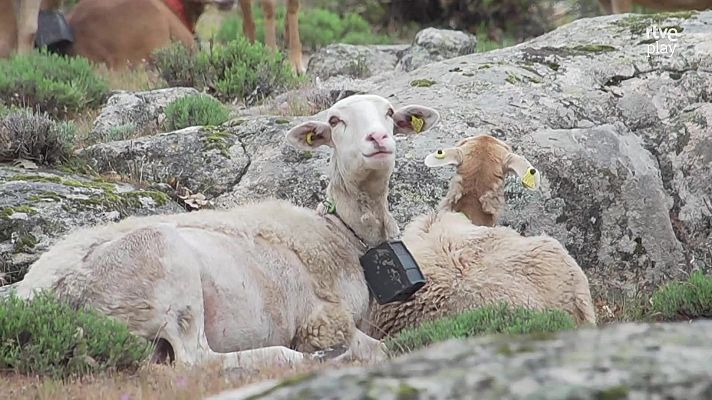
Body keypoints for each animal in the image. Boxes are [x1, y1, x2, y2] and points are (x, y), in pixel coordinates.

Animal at [15, 94, 441, 370]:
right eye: (335, 121)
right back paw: (300, 359)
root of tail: (37, 295)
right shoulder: (323, 323)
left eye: (390, 113)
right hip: (167, 268)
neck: (342, 234)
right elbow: (385, 349)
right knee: (195, 360)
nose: (379, 139)